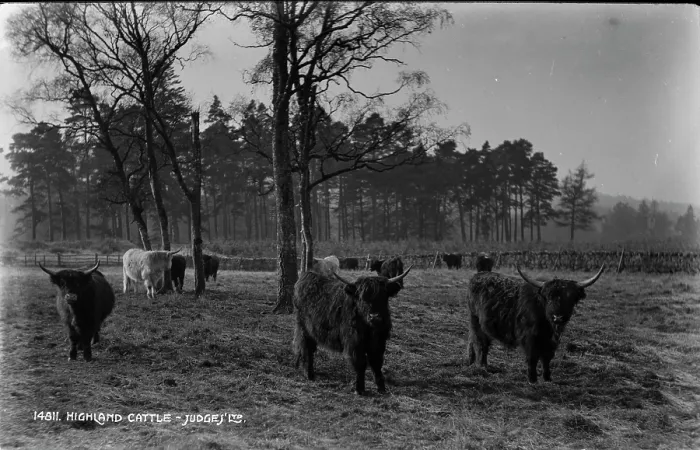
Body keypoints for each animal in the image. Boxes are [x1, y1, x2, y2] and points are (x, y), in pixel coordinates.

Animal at [293, 265, 413, 395]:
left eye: (383, 296)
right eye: (361, 297)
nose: (375, 317)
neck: (370, 329)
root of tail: (306, 277)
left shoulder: (379, 342)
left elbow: (376, 362)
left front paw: (381, 388)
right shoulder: (355, 343)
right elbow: (360, 363)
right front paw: (359, 389)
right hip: (304, 329)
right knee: (306, 348)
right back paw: (309, 374)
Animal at [465, 264, 605, 383]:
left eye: (570, 298)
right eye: (549, 298)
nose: (558, 317)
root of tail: (478, 275)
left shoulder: (551, 341)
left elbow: (547, 358)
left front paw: (547, 377)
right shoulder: (529, 338)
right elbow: (532, 358)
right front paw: (532, 379)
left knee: (474, 341)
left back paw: (471, 362)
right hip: (476, 321)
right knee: (481, 344)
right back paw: (482, 366)